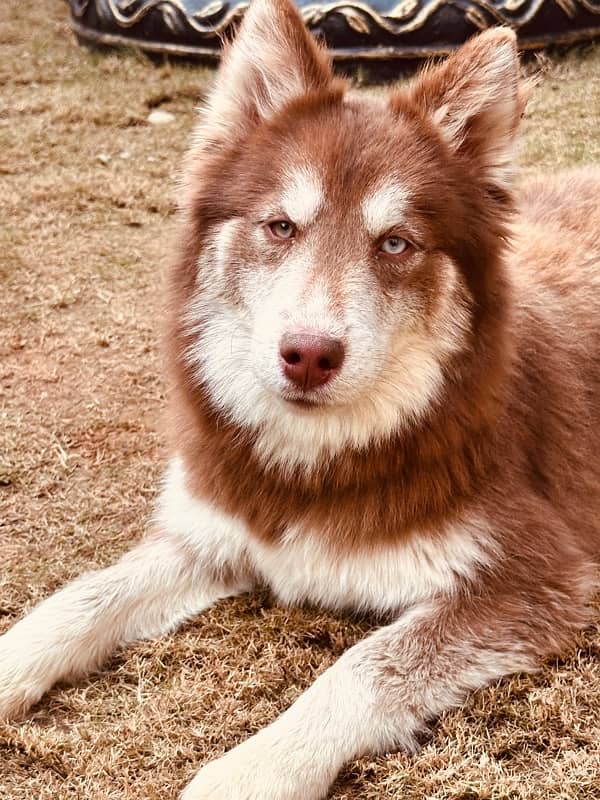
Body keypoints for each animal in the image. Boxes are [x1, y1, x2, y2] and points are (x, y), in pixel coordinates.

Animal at [1, 0, 600, 796]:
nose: (309, 356)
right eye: (281, 226)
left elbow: (365, 667)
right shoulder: (212, 529)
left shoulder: (540, 580)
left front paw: (251, 770)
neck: (318, 460)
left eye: (396, 243)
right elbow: (80, 597)